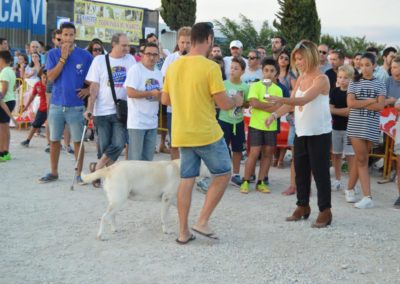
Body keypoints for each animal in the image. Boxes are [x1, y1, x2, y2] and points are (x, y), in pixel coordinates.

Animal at [80, 159, 208, 241]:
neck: (180, 169)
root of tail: (110, 168)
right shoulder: (166, 199)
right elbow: (164, 217)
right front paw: (166, 230)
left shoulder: (174, 199)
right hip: (118, 201)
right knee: (104, 217)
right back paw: (100, 236)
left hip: (117, 201)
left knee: (111, 216)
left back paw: (115, 229)